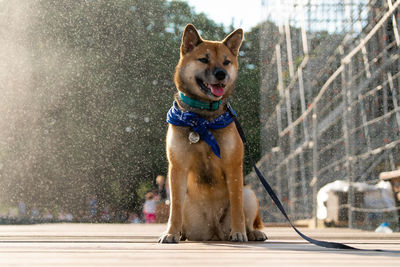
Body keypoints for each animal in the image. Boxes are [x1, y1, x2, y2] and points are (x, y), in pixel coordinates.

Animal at [158, 24, 268, 244]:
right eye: (204, 59)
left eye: (226, 62)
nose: (221, 74)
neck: (203, 118)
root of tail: (214, 232)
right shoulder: (177, 168)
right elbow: (174, 210)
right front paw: (171, 233)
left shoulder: (233, 167)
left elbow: (236, 206)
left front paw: (239, 232)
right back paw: (181, 234)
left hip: (249, 193)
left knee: (249, 218)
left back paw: (252, 232)